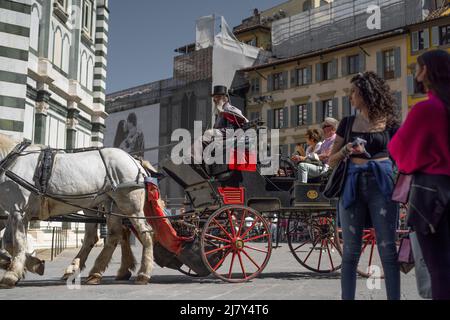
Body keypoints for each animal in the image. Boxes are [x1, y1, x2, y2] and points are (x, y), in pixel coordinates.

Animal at [0, 134, 153, 288]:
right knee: (112, 236)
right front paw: (33, 265)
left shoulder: (20, 210)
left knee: (145, 233)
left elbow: (18, 243)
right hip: (111, 204)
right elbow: (8, 242)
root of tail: (134, 160)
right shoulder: (12, 212)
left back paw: (143, 274)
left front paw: (11, 274)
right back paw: (93, 272)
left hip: (130, 205)